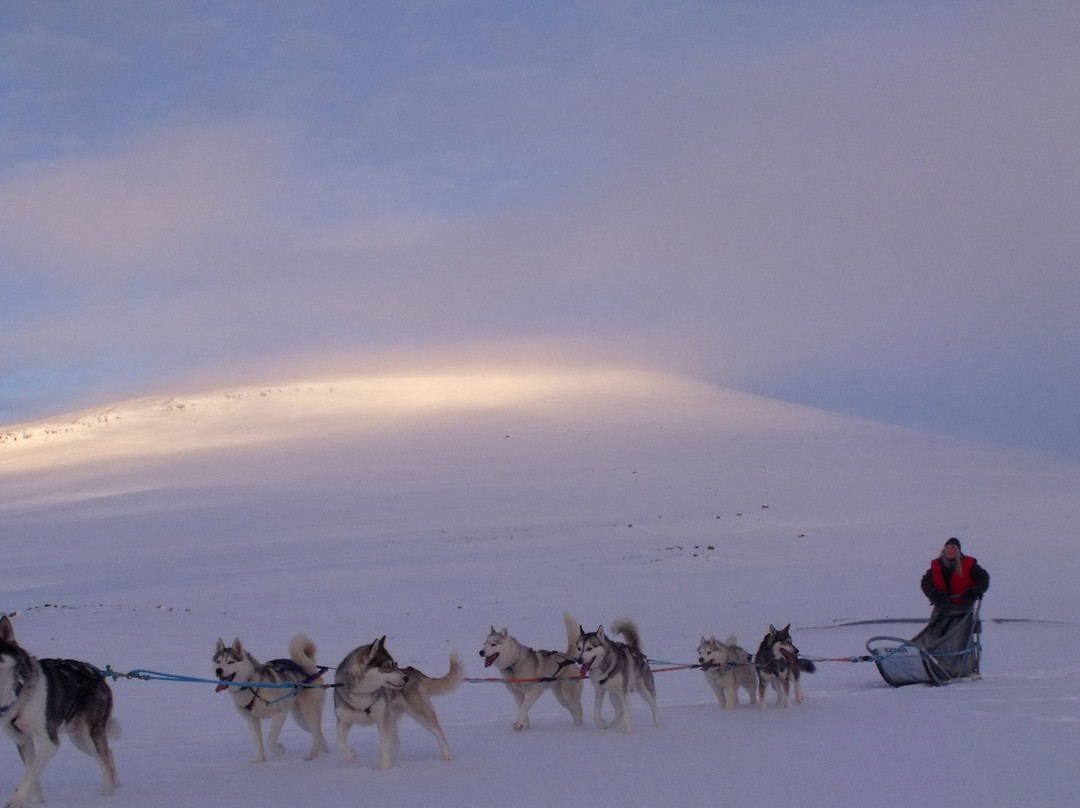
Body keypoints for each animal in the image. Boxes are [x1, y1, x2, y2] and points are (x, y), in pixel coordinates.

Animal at [0, 613, 118, 808]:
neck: (18, 690)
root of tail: (98, 674)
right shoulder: (23, 740)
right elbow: (32, 772)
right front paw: (36, 801)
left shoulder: (50, 741)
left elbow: (32, 772)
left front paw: (16, 800)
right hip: (79, 739)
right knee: (108, 753)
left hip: (89, 734)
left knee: (106, 766)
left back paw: (107, 799)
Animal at [332, 639, 460, 769]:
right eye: (387, 666)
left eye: (394, 664)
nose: (406, 679)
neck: (362, 694)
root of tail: (412, 671)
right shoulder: (343, 720)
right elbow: (339, 743)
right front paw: (350, 756)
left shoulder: (383, 721)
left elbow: (385, 746)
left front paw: (383, 768)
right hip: (392, 716)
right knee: (396, 742)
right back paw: (393, 760)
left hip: (419, 712)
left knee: (438, 731)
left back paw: (447, 755)